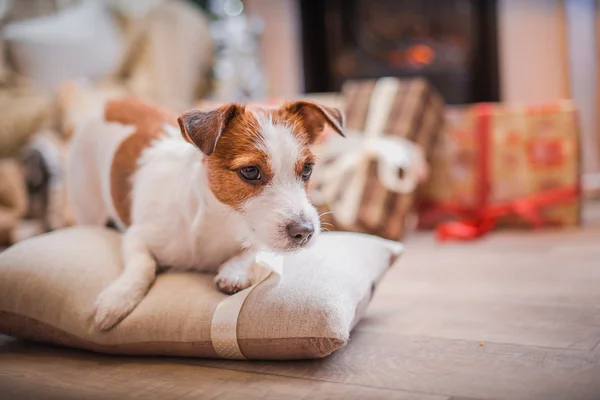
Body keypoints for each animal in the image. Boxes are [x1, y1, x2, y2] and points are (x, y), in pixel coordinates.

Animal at [67, 95, 342, 330]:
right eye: (250, 171)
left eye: (307, 169)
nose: (305, 232)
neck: (220, 222)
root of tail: (111, 101)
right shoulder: (137, 236)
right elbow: (142, 264)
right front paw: (118, 297)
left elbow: (254, 250)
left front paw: (234, 271)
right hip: (87, 205)